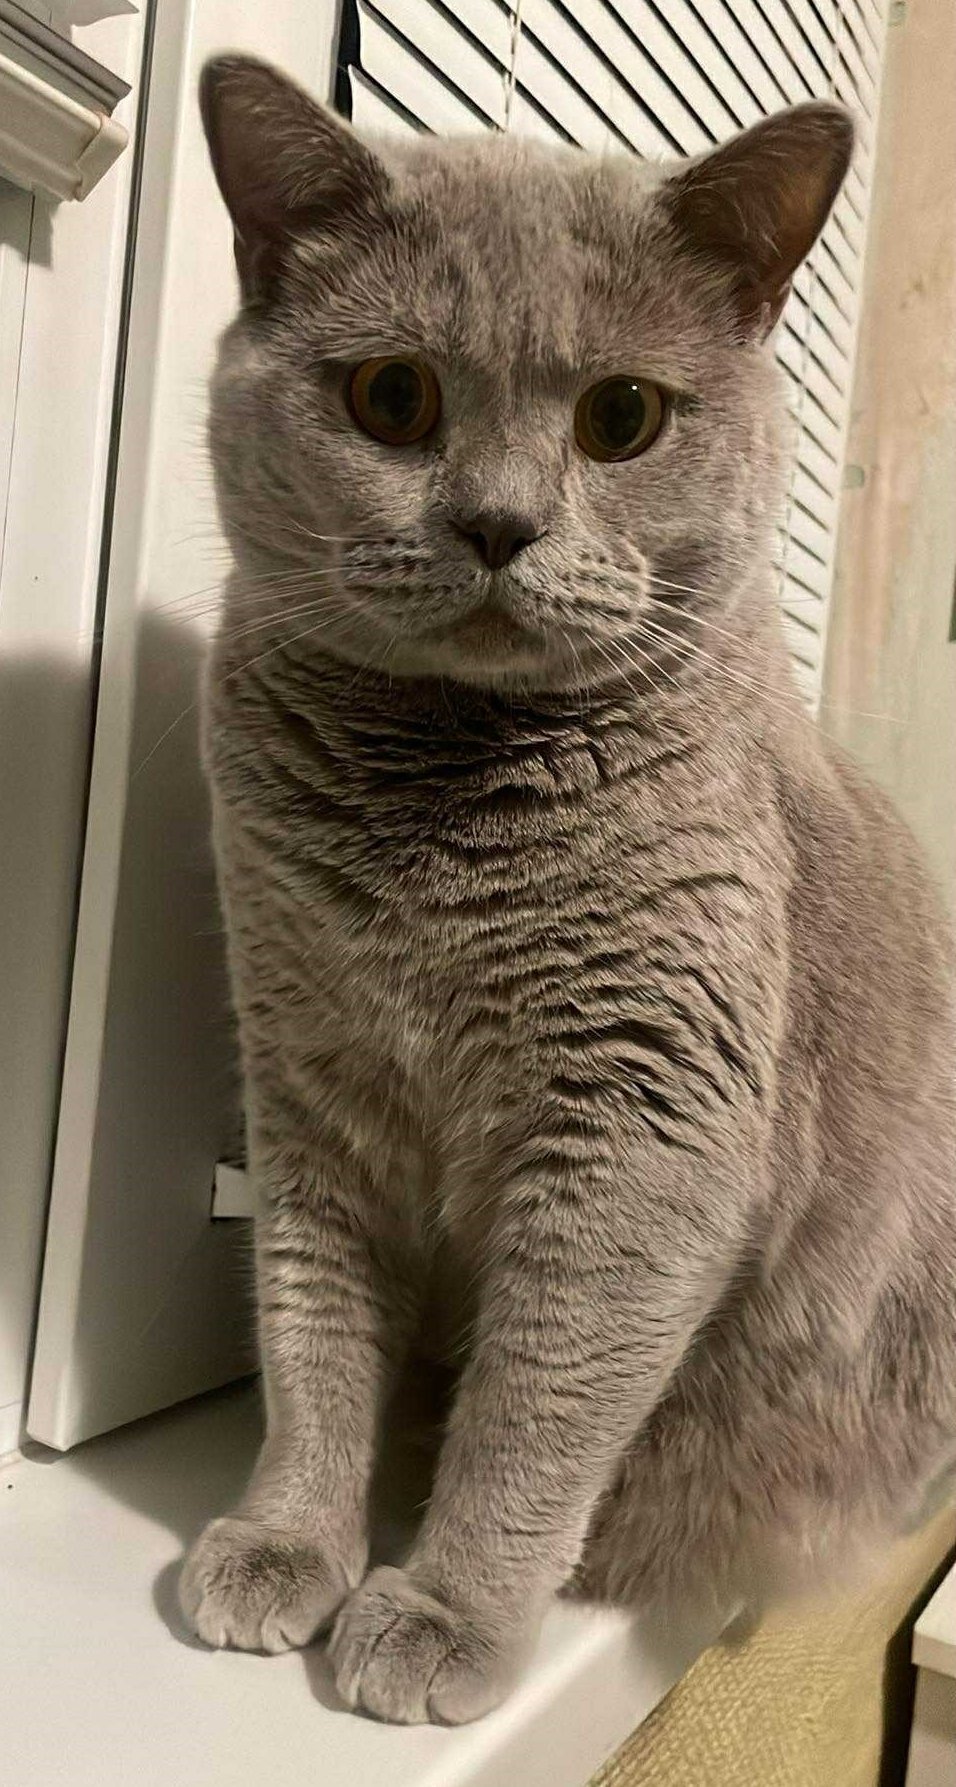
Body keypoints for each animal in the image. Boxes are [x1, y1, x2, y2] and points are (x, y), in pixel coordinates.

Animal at [179, 54, 956, 1726]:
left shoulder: (644, 1129)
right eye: (392, 398)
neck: (439, 816)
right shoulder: (306, 1078)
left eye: (623, 417)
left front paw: (444, 1613)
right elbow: (310, 1324)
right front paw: (287, 1541)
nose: (495, 524)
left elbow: (536, 1407)